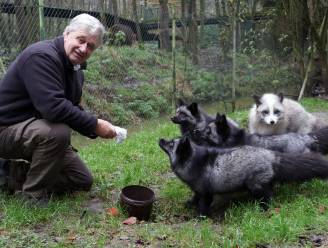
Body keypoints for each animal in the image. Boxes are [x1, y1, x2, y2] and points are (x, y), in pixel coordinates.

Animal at [159, 137, 328, 216]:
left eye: (171, 144)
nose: (160, 139)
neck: (196, 163)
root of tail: (271, 155)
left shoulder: (206, 193)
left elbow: (204, 205)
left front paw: (201, 216)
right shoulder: (197, 189)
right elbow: (195, 197)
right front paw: (190, 204)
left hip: (257, 186)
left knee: (269, 197)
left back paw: (264, 209)